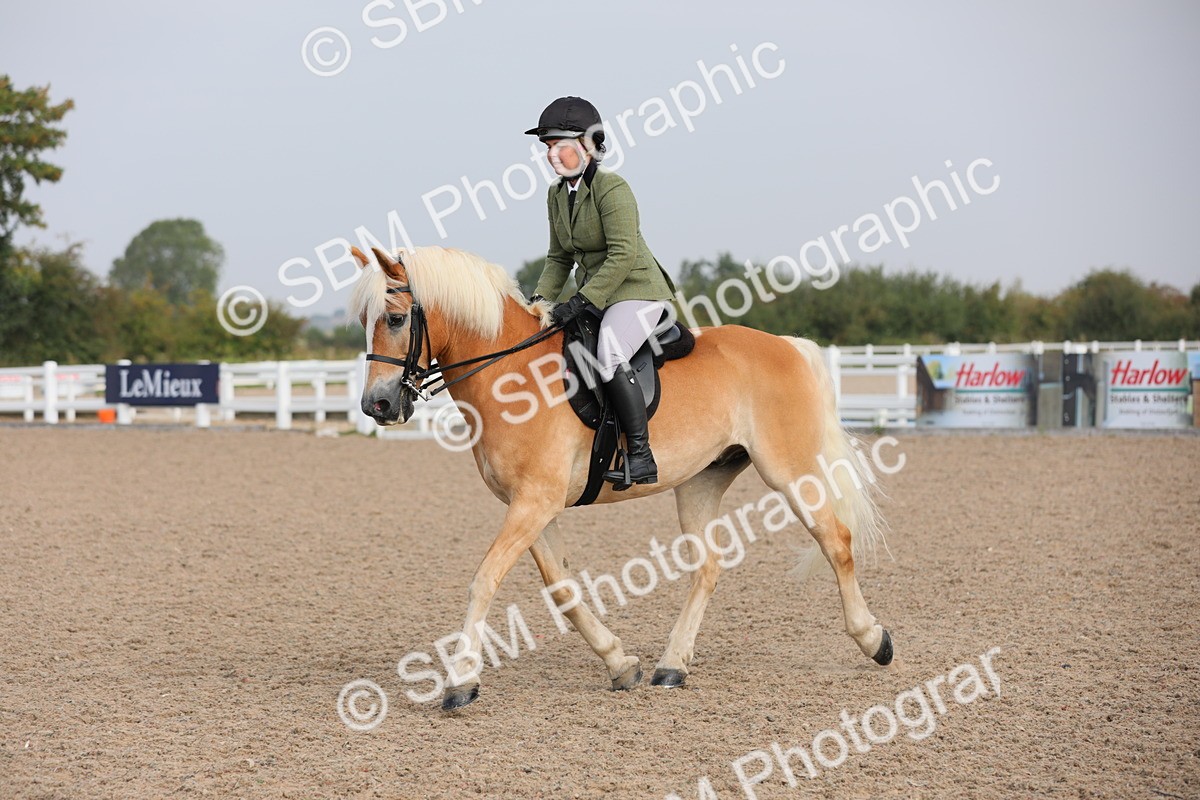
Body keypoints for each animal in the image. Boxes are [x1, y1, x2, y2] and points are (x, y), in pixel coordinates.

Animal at [348, 245, 893, 710]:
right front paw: (620, 664)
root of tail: (787, 345)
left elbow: (484, 580)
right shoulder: (531, 507)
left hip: (790, 472)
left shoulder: (535, 502)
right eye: (363, 322)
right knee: (708, 568)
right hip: (700, 482)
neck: (511, 375)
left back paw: (875, 641)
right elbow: (562, 590)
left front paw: (461, 681)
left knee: (836, 541)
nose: (377, 406)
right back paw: (671, 666)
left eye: (395, 319)